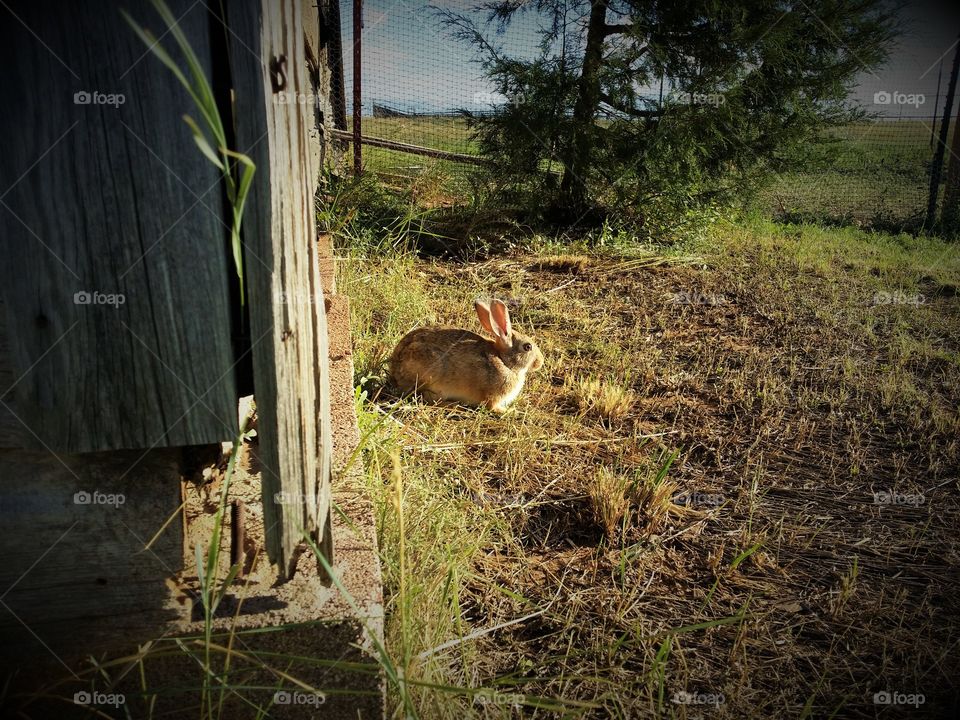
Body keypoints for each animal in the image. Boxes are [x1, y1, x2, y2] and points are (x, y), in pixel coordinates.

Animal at [388, 296, 540, 410]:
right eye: (527, 347)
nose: (540, 362)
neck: (504, 362)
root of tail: (395, 370)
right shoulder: (493, 397)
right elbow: (492, 407)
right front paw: (510, 412)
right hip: (431, 377)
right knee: (427, 398)